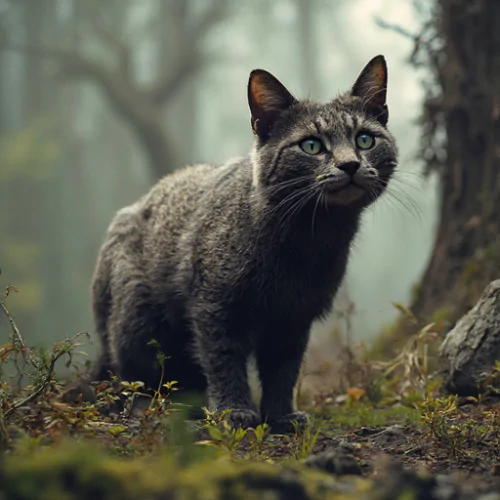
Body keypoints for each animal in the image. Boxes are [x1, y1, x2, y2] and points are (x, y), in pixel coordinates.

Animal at [91, 53, 398, 430]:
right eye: (311, 145)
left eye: (365, 139)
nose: (350, 164)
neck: (306, 240)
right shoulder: (215, 306)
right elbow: (225, 361)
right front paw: (234, 411)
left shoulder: (294, 317)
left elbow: (284, 369)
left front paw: (281, 415)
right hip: (134, 321)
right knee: (129, 373)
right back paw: (146, 407)